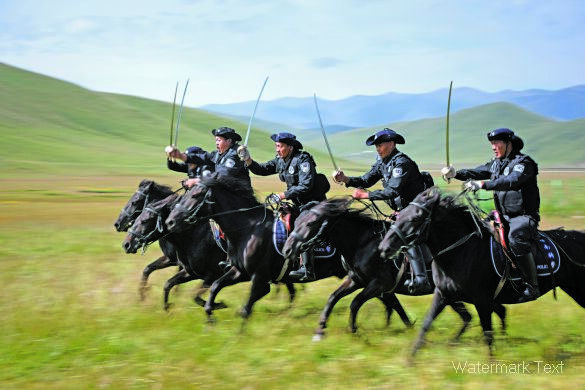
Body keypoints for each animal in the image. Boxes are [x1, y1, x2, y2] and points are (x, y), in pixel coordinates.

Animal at [164, 173, 410, 326]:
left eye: (196, 196)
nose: (170, 222)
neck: (248, 228)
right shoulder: (238, 272)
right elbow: (214, 288)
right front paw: (212, 316)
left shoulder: (260, 279)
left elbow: (246, 306)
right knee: (389, 299)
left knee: (387, 299)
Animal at [282, 198, 506, 342]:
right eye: (297, 221)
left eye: (311, 223)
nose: (287, 249)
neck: (362, 242)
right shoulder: (356, 279)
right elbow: (332, 298)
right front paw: (320, 330)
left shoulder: (379, 284)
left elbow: (355, 303)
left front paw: (354, 331)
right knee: (482, 313)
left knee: (478, 313)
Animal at [376, 187, 584, 354]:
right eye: (400, 214)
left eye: (416, 218)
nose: (384, 248)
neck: (462, 251)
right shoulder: (443, 295)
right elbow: (425, 325)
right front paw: (410, 359)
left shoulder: (482, 301)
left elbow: (487, 335)